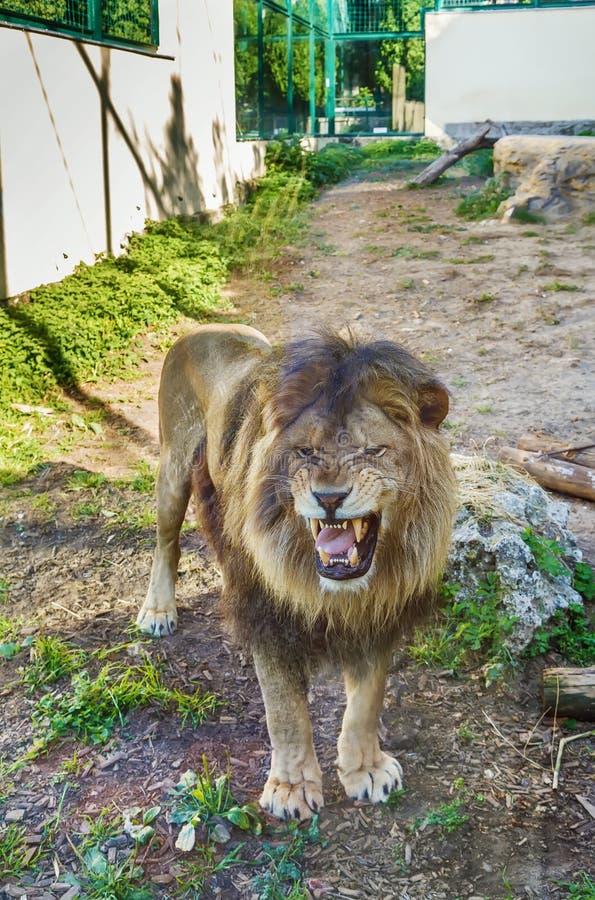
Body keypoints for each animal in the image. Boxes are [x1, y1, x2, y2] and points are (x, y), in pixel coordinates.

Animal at [139, 326, 456, 824]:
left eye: (373, 450)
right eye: (305, 452)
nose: (329, 498)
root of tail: (200, 328)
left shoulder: (378, 614)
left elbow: (367, 699)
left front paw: (365, 769)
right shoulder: (269, 618)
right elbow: (283, 710)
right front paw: (290, 788)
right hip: (172, 467)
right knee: (165, 541)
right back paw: (157, 609)